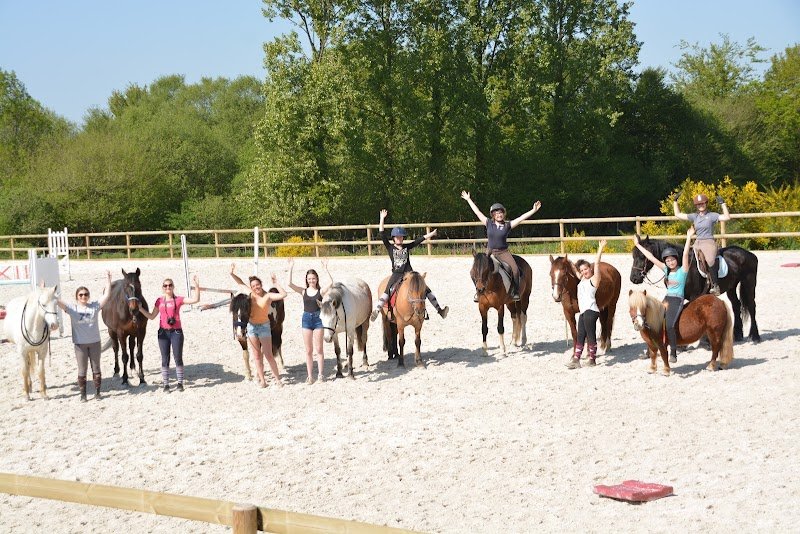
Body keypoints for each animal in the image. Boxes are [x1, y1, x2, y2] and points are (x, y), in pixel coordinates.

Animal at [630, 235, 759, 342]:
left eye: (642, 256)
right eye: (633, 256)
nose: (633, 278)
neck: (681, 265)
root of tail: (749, 254)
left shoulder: (694, 296)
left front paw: (703, 340)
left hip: (749, 282)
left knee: (751, 306)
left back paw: (755, 336)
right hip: (731, 287)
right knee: (736, 306)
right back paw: (737, 335)